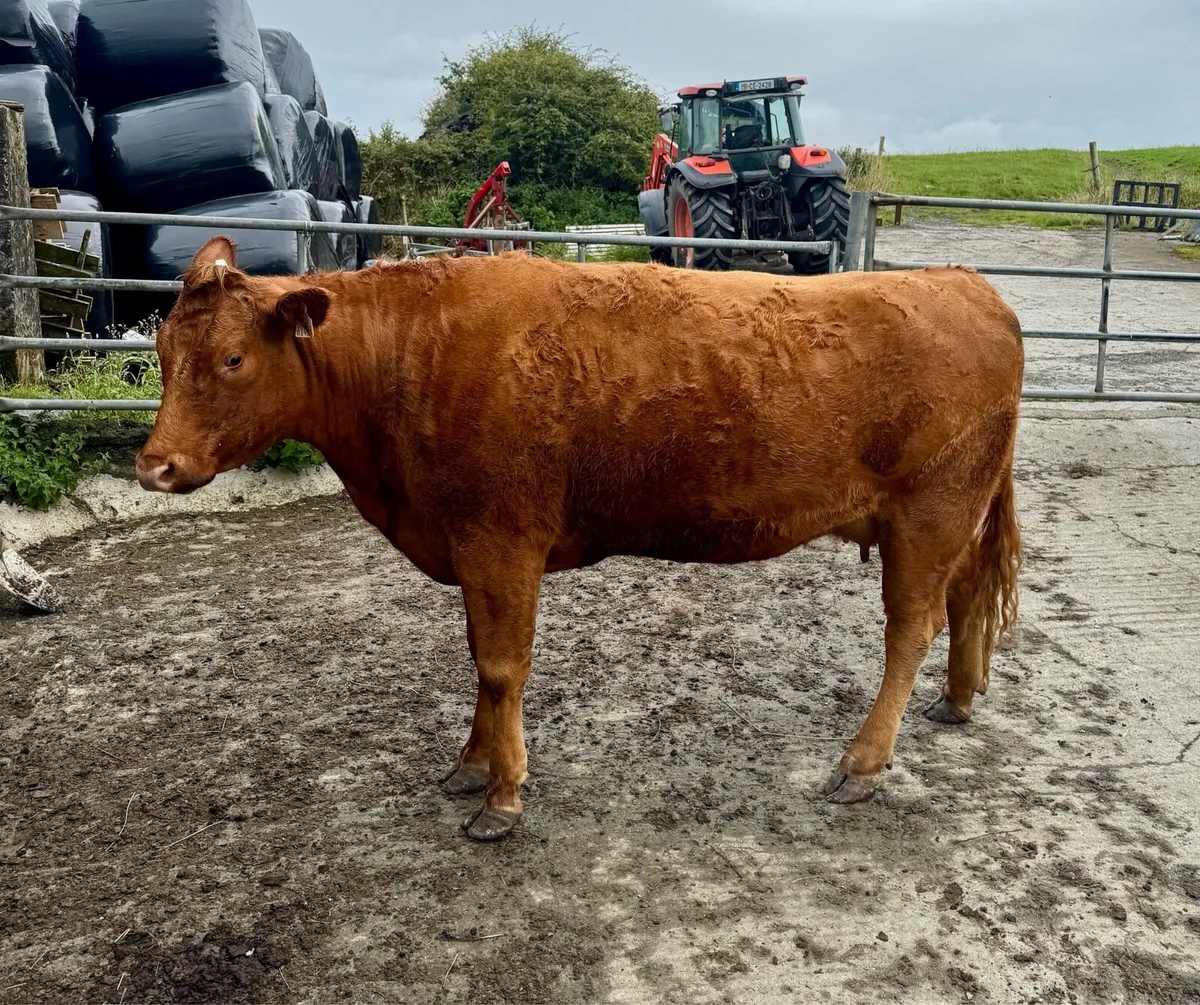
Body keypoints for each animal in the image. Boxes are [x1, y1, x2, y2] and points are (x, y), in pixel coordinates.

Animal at [136, 237, 1023, 841]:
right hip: (953, 515)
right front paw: (471, 763)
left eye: (233, 358)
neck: (409, 356)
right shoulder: (471, 547)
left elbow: (502, 667)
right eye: (163, 351)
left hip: (930, 512)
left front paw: (502, 795)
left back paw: (861, 763)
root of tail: (961, 281)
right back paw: (957, 698)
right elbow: (480, 663)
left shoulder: (500, 540)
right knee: (964, 598)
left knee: (910, 627)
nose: (155, 465)